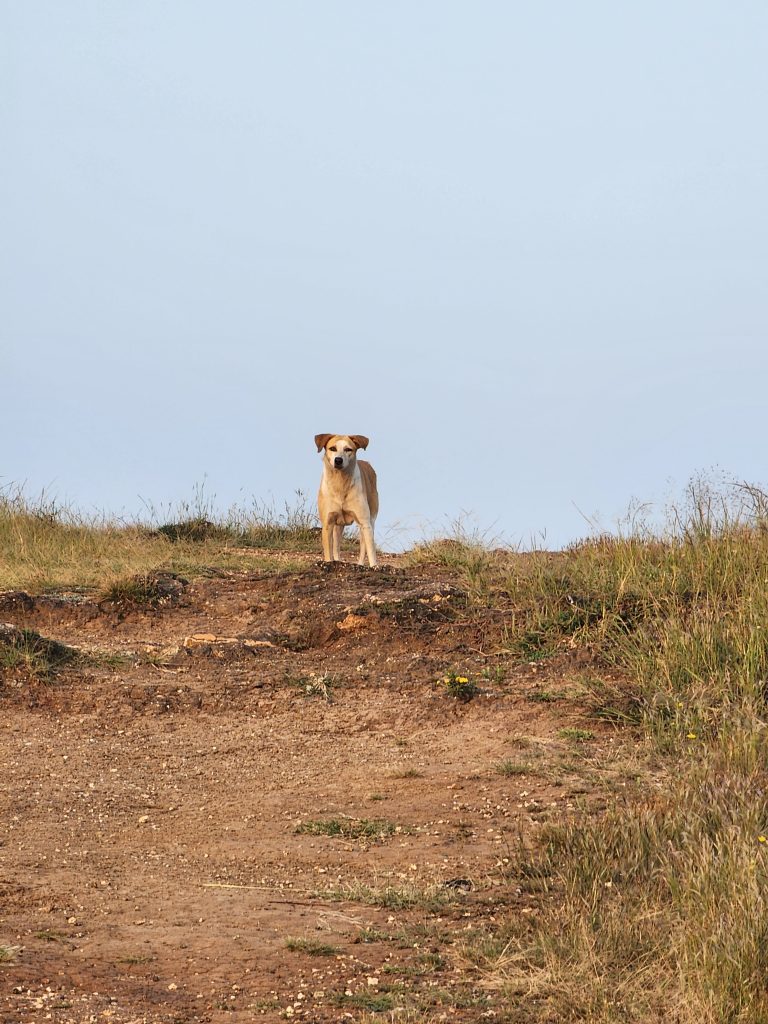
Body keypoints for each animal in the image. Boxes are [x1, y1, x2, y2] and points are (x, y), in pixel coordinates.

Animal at [313, 432, 380, 569]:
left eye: (348, 449)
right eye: (332, 448)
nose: (338, 460)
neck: (340, 483)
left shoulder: (365, 523)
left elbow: (371, 551)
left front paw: (374, 567)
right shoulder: (328, 522)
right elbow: (329, 551)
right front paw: (329, 563)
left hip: (370, 520)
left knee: (364, 546)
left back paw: (360, 564)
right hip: (338, 525)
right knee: (336, 546)